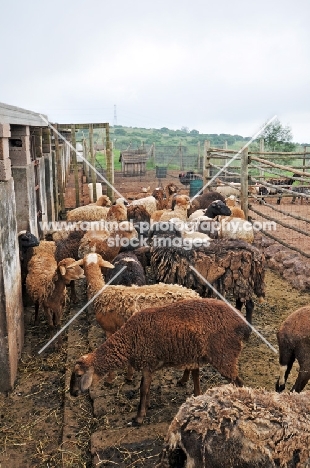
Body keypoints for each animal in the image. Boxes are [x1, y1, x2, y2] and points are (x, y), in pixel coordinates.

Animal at [69, 300, 249, 424]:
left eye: (78, 375)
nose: (72, 393)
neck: (129, 340)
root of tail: (243, 324)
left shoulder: (147, 363)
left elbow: (143, 389)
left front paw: (139, 418)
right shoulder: (148, 365)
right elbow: (146, 389)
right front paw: (146, 408)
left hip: (225, 356)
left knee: (239, 383)